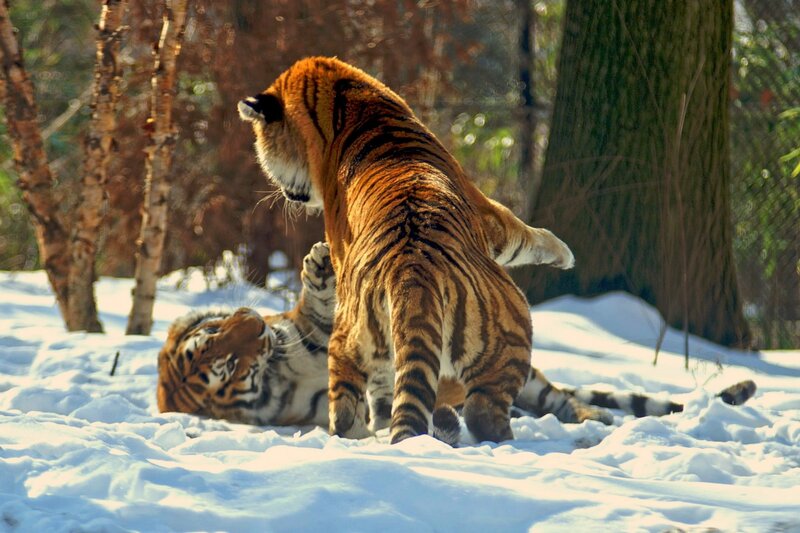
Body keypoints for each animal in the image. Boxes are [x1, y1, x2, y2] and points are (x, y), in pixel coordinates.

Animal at [157, 241, 757, 445]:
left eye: (215, 336)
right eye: (227, 365)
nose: (254, 324)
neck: (282, 365)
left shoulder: (318, 331)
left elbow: (322, 305)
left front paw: (321, 264)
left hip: (531, 380)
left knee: (567, 400)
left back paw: (595, 419)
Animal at [236, 56, 578, 444]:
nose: (282, 191)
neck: (346, 102)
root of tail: (412, 270)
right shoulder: (489, 214)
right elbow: (526, 236)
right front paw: (565, 255)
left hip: (355, 337)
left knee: (352, 405)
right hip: (513, 327)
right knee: (480, 410)